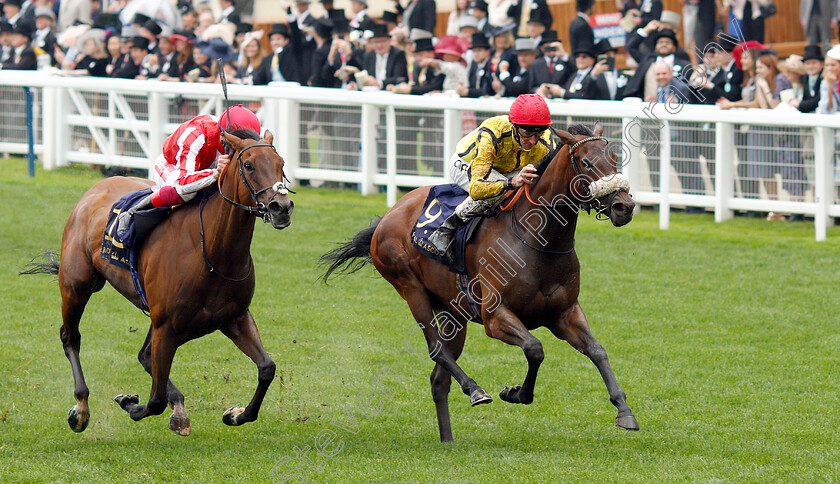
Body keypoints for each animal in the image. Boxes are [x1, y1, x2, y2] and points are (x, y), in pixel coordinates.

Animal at [26, 129, 294, 434]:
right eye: (248, 165)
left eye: (281, 163)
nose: (281, 207)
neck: (213, 252)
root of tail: (96, 187)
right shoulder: (166, 327)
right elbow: (154, 400)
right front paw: (129, 402)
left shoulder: (233, 318)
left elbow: (267, 368)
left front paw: (235, 414)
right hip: (76, 285)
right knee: (70, 337)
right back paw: (81, 408)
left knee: (144, 355)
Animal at [324, 122, 640, 442]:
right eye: (586, 163)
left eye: (615, 159)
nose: (624, 207)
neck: (538, 239)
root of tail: (389, 214)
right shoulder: (495, 317)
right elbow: (535, 348)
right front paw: (514, 393)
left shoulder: (565, 314)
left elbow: (597, 351)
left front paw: (624, 411)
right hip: (411, 289)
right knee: (435, 348)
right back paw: (475, 390)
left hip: (453, 314)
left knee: (439, 379)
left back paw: (448, 440)